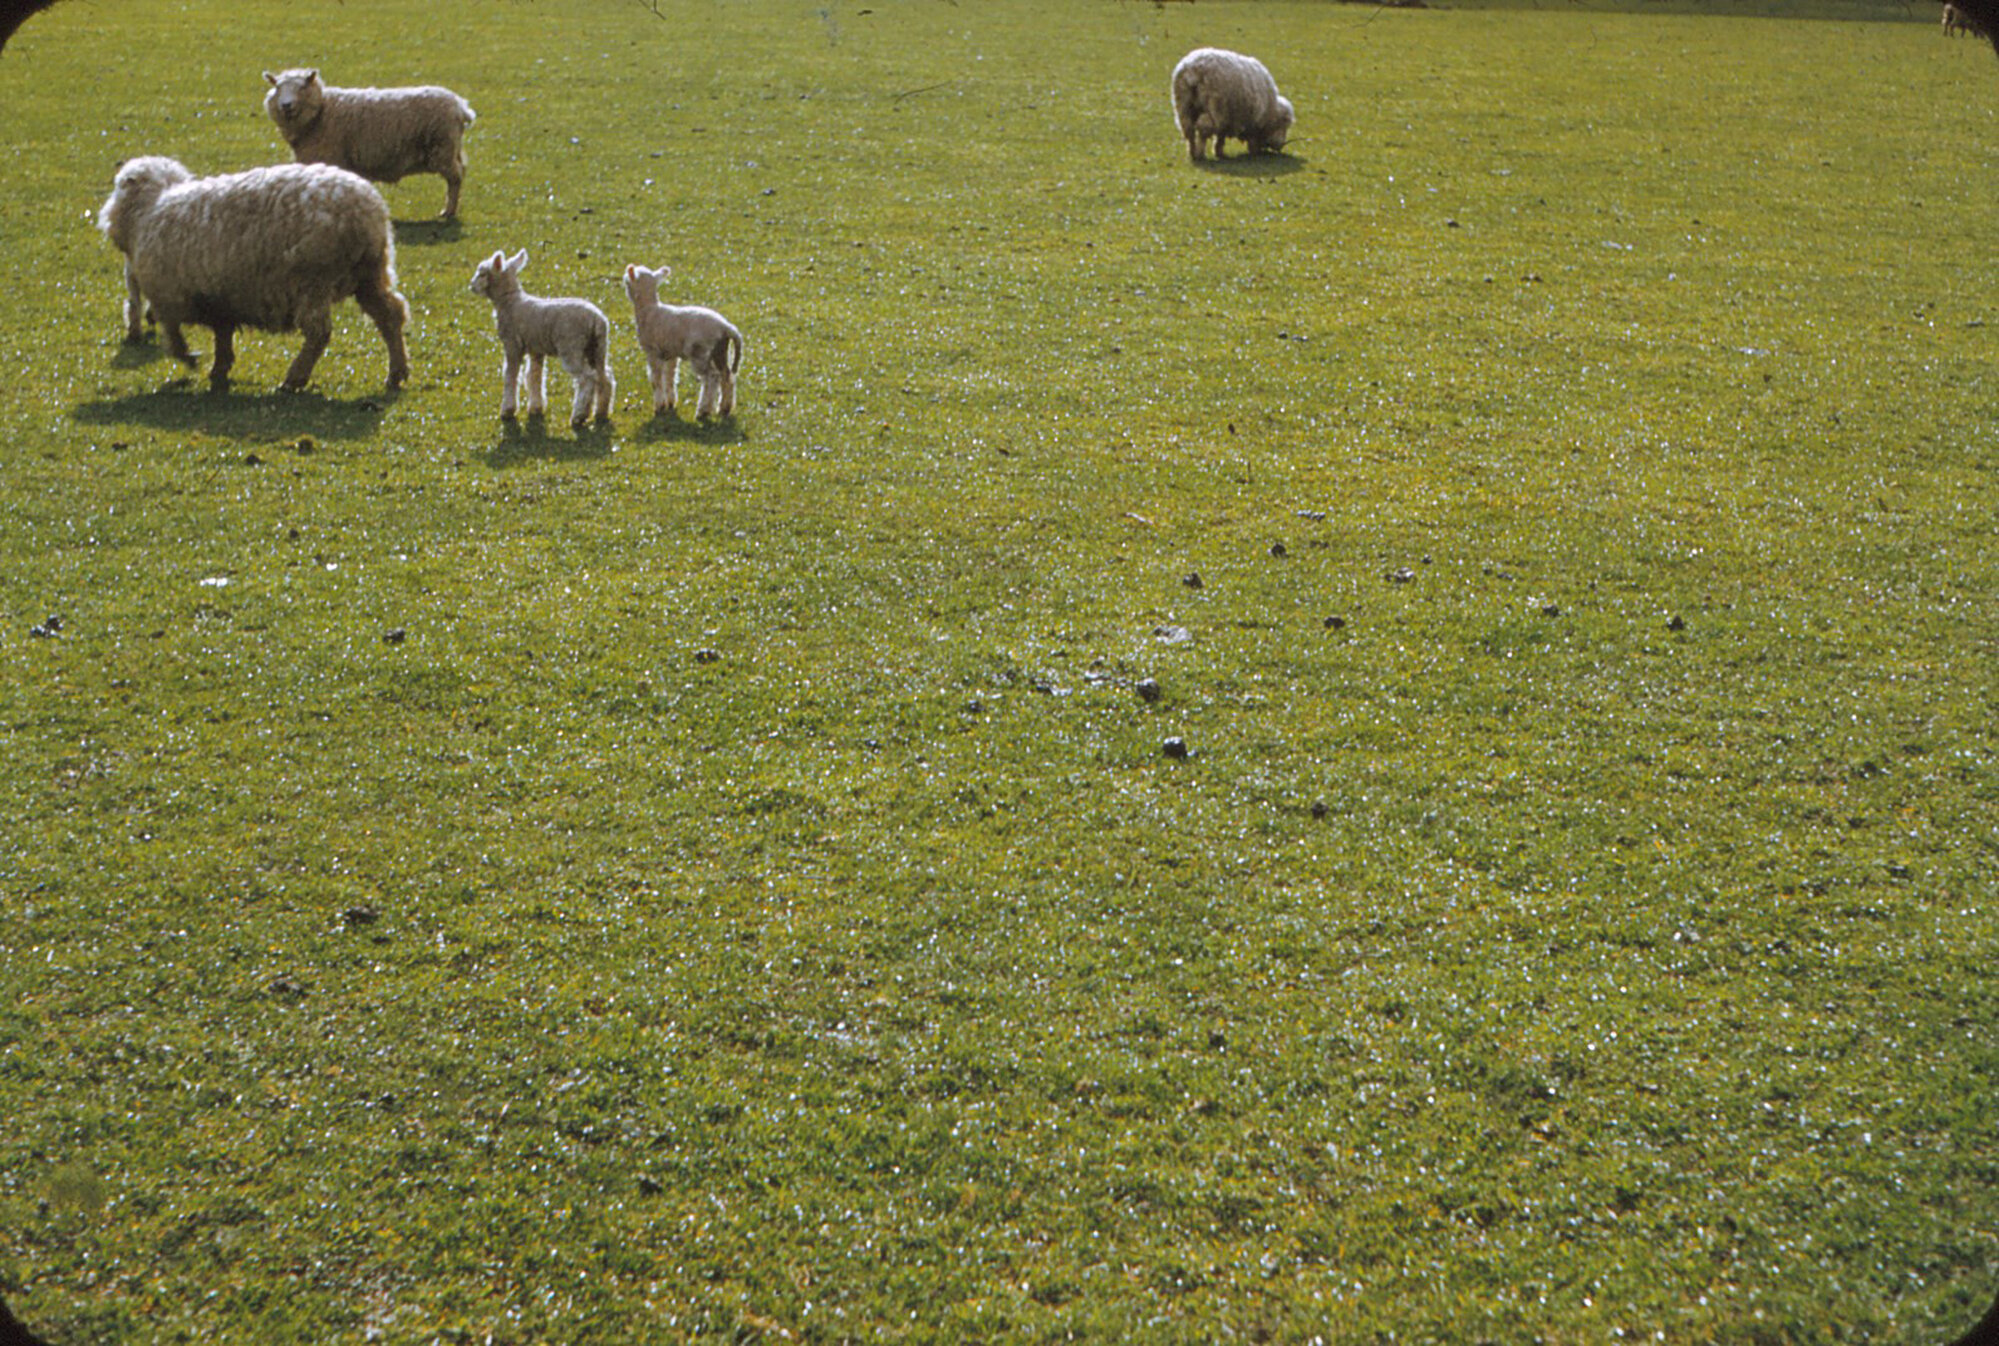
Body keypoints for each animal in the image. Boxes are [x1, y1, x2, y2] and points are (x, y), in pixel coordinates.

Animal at [96, 155, 409, 392]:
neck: (149, 208)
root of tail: (367, 211)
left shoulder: (169, 298)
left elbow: (174, 338)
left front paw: (189, 358)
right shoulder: (219, 298)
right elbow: (222, 336)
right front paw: (218, 369)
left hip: (313, 281)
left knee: (319, 333)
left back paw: (295, 378)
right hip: (369, 275)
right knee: (391, 315)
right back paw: (396, 372)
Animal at [264, 68, 476, 219]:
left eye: (302, 87)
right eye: (277, 88)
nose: (286, 105)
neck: (320, 113)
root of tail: (460, 106)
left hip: (442, 148)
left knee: (455, 178)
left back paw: (448, 211)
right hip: (452, 149)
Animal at [469, 249, 614, 428]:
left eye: (482, 273)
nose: (471, 286)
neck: (509, 301)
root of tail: (597, 318)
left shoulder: (512, 344)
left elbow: (510, 376)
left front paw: (507, 410)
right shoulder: (536, 348)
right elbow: (534, 376)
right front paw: (536, 408)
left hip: (571, 347)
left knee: (587, 378)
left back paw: (579, 415)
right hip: (598, 348)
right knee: (605, 376)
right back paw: (601, 411)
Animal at [621, 264, 744, 419]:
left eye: (626, 282)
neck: (648, 309)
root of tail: (726, 327)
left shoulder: (653, 351)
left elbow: (656, 380)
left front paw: (659, 406)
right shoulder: (670, 353)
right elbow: (670, 377)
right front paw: (670, 402)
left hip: (700, 352)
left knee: (711, 378)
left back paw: (703, 410)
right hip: (720, 350)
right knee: (727, 376)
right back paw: (724, 409)